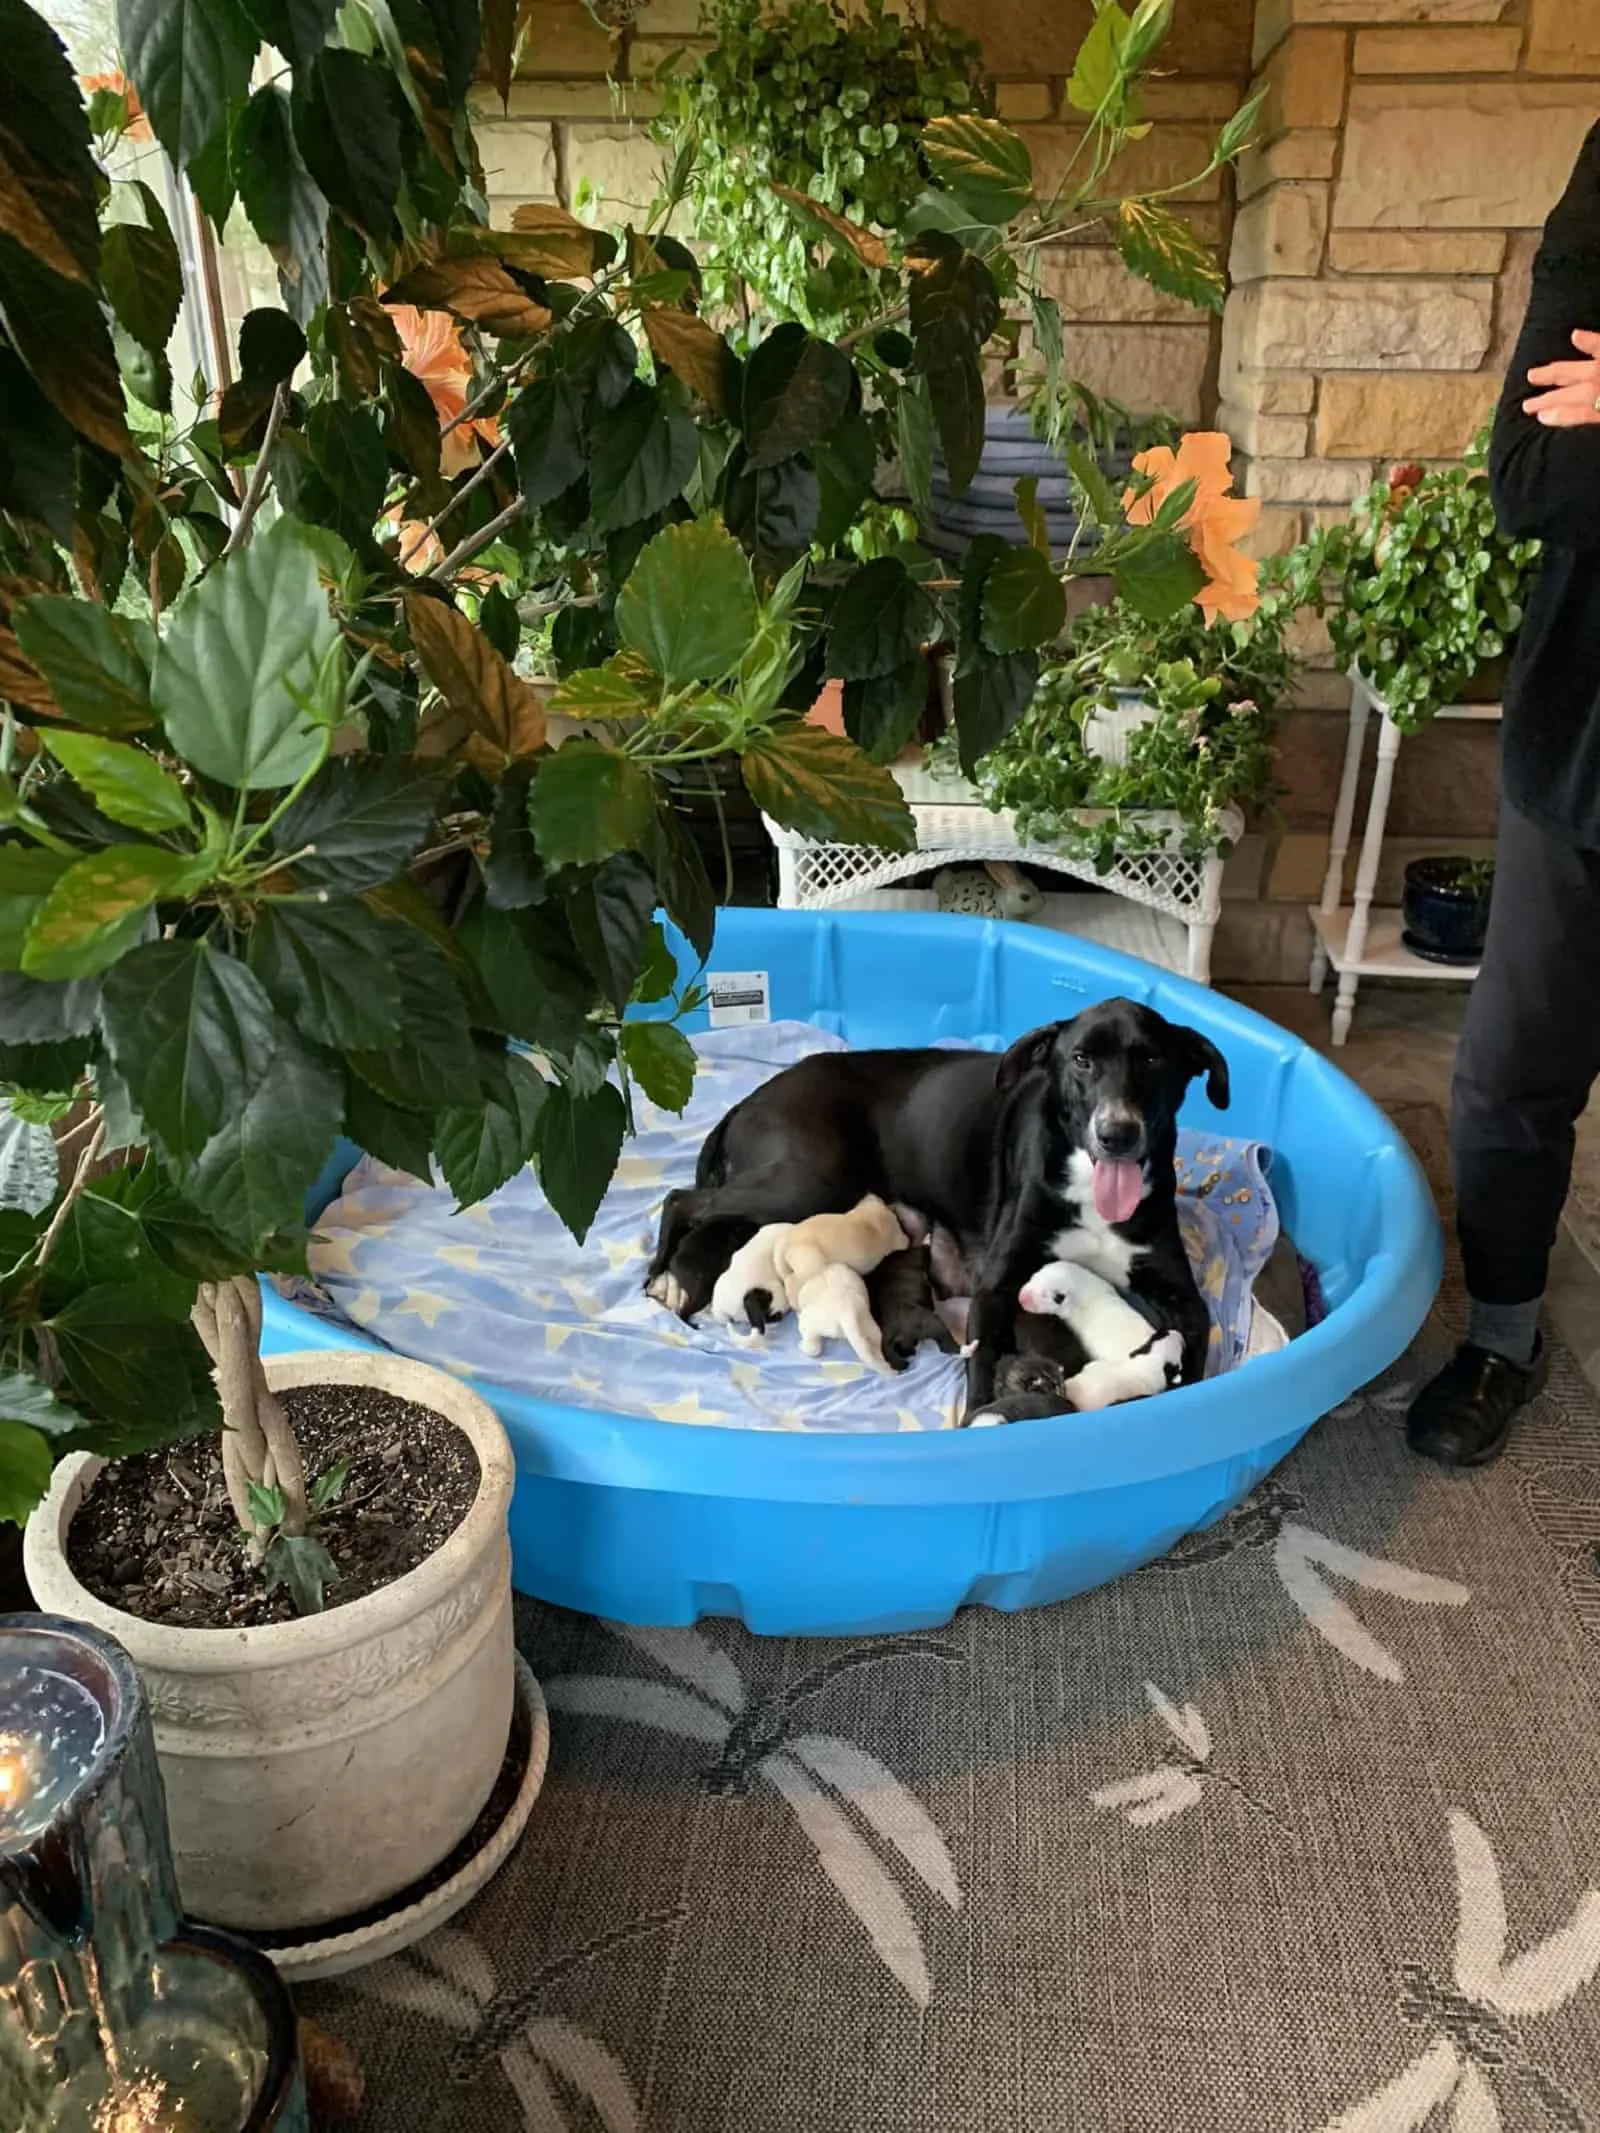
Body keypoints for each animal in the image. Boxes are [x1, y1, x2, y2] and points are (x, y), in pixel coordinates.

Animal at [780, 1194, 913, 1305]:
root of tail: (787, 1240)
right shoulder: (898, 1238)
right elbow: (905, 1241)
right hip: (812, 1263)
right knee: (790, 1281)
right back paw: (796, 1304)